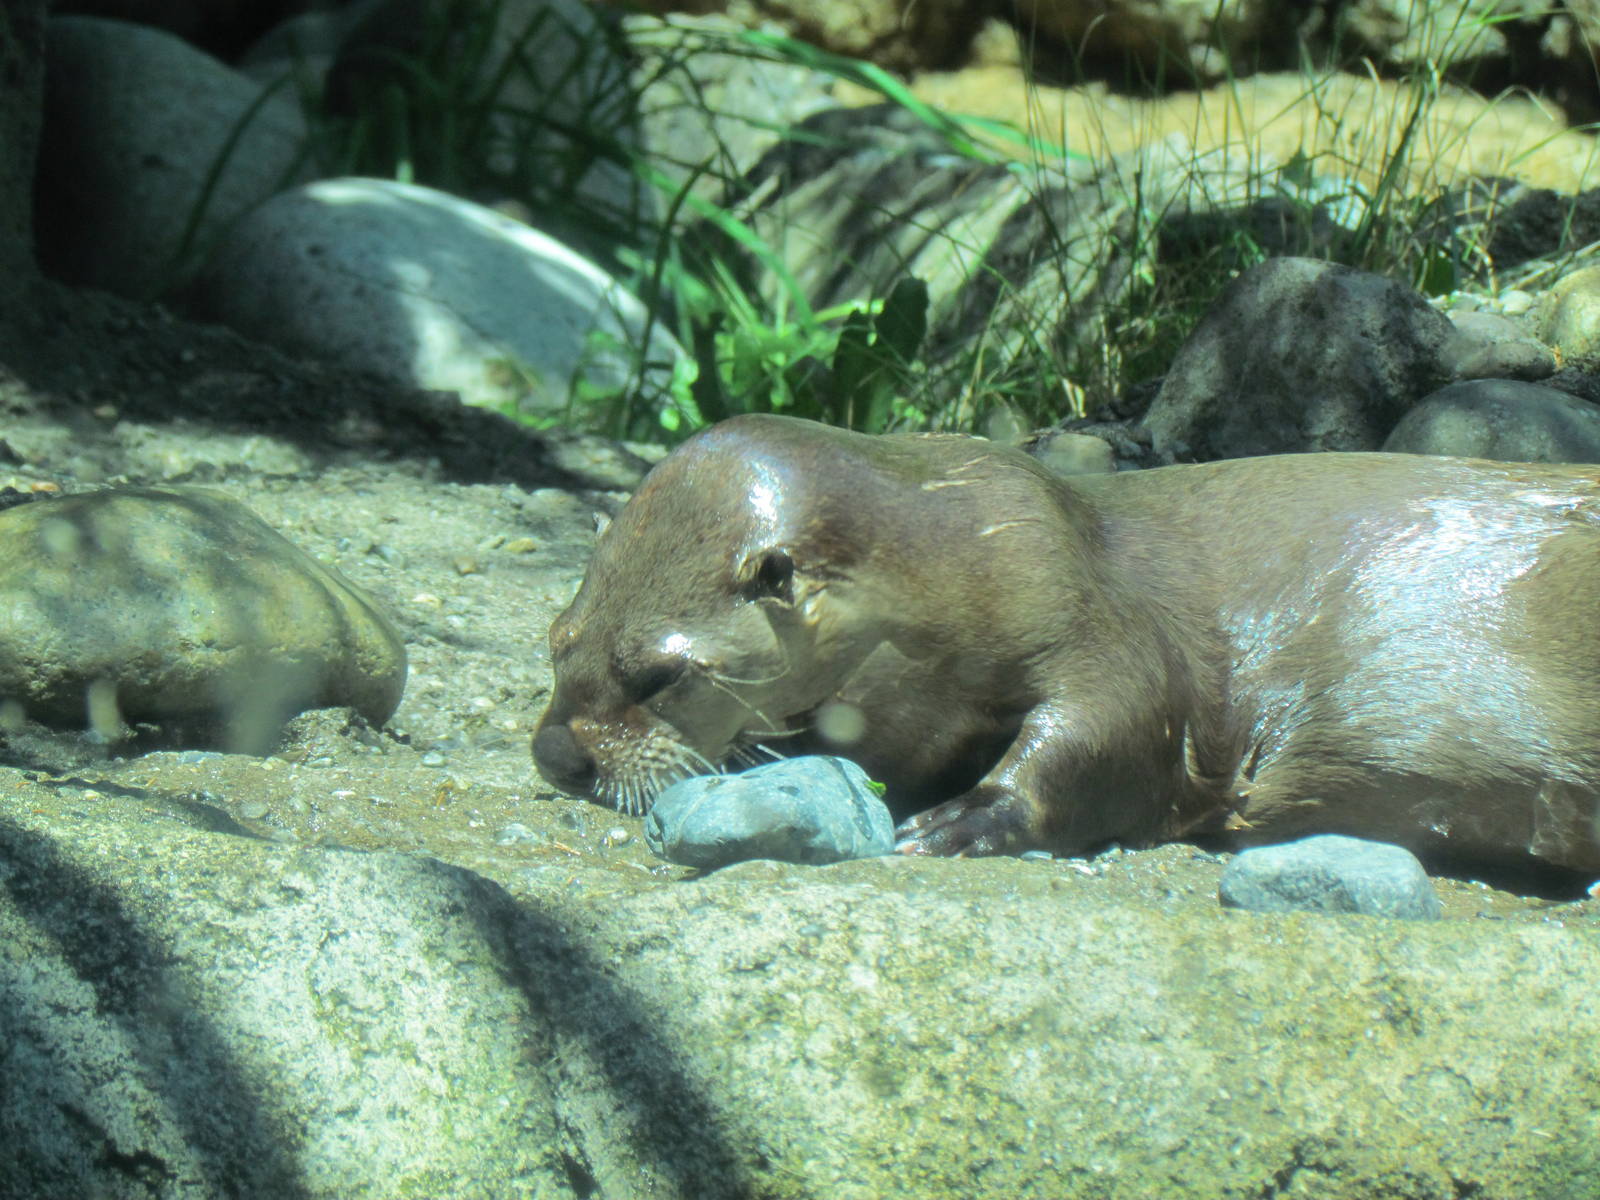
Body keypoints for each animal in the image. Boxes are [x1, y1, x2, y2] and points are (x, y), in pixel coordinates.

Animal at [532, 413, 1600, 874]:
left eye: (659, 674)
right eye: (555, 642)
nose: (554, 756)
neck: (964, 543)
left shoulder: (1080, 597)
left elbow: (1122, 714)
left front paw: (968, 817)